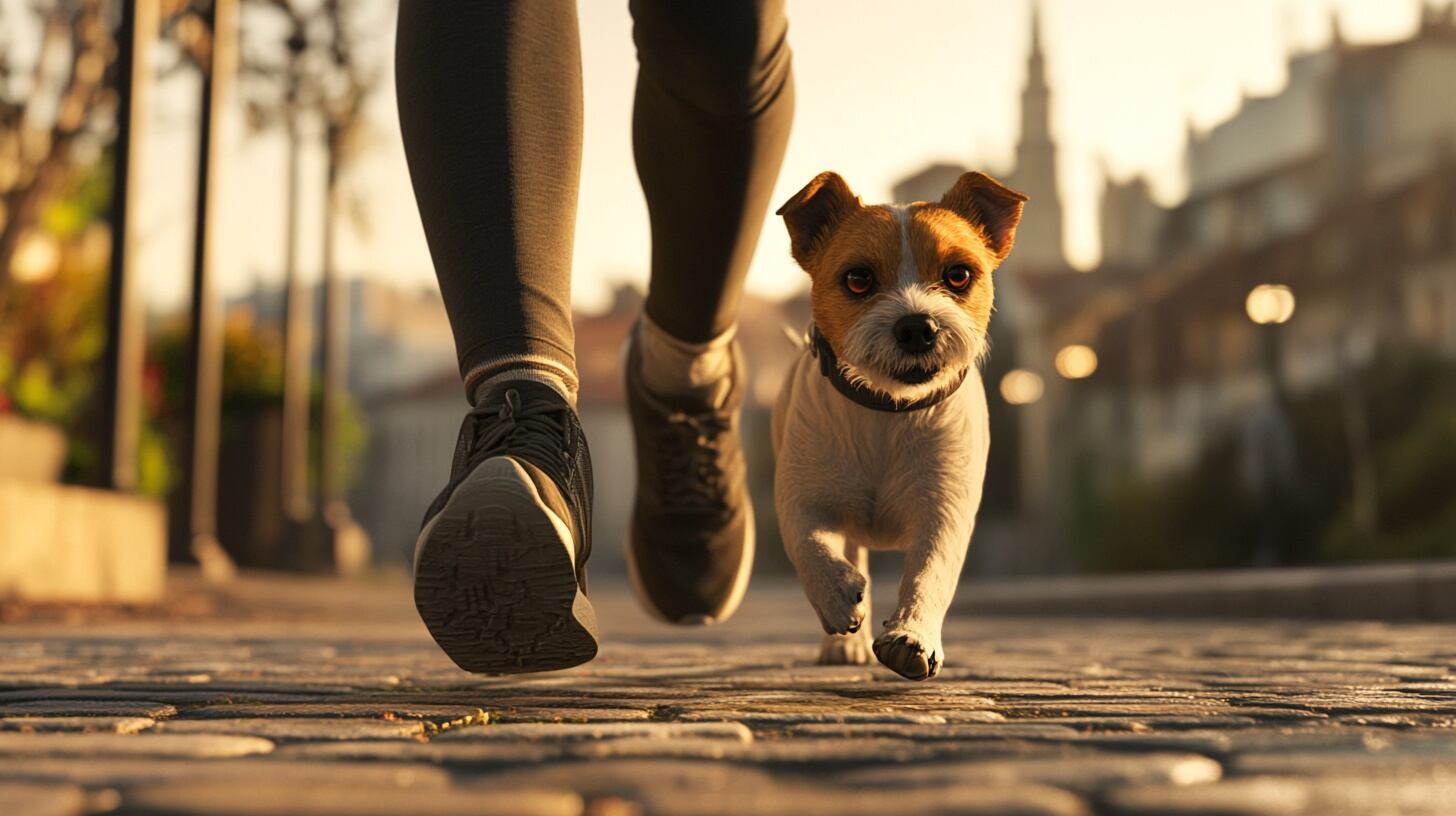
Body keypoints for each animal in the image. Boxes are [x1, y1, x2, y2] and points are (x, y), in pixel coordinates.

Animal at [768, 169, 1030, 679]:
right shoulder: (802, 498)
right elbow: (808, 546)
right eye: (858, 279)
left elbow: (930, 572)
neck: (886, 412)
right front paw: (835, 594)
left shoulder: (943, 510)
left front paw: (912, 636)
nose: (916, 326)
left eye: (958, 275)